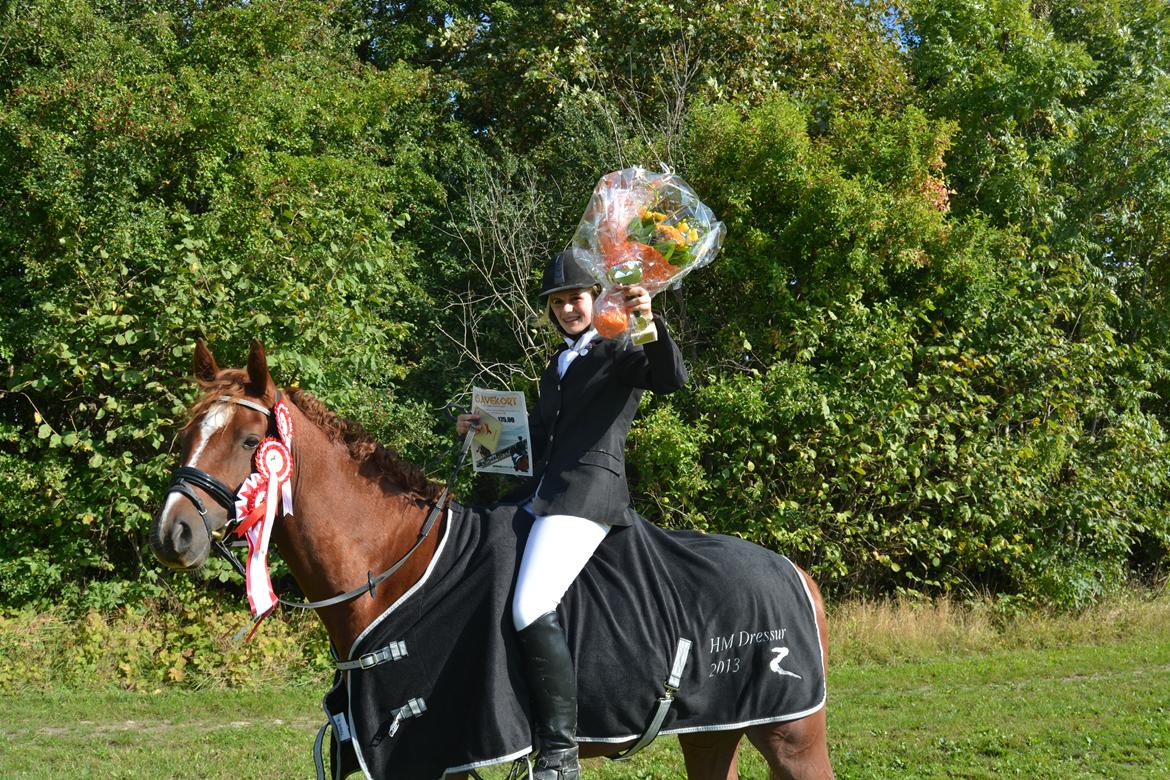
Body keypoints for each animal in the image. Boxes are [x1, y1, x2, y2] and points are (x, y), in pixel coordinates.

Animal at [150, 341, 833, 780]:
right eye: (185, 435)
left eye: (248, 441)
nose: (172, 534)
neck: (395, 567)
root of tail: (791, 570)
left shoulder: (432, 753)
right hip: (714, 733)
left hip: (791, 734)